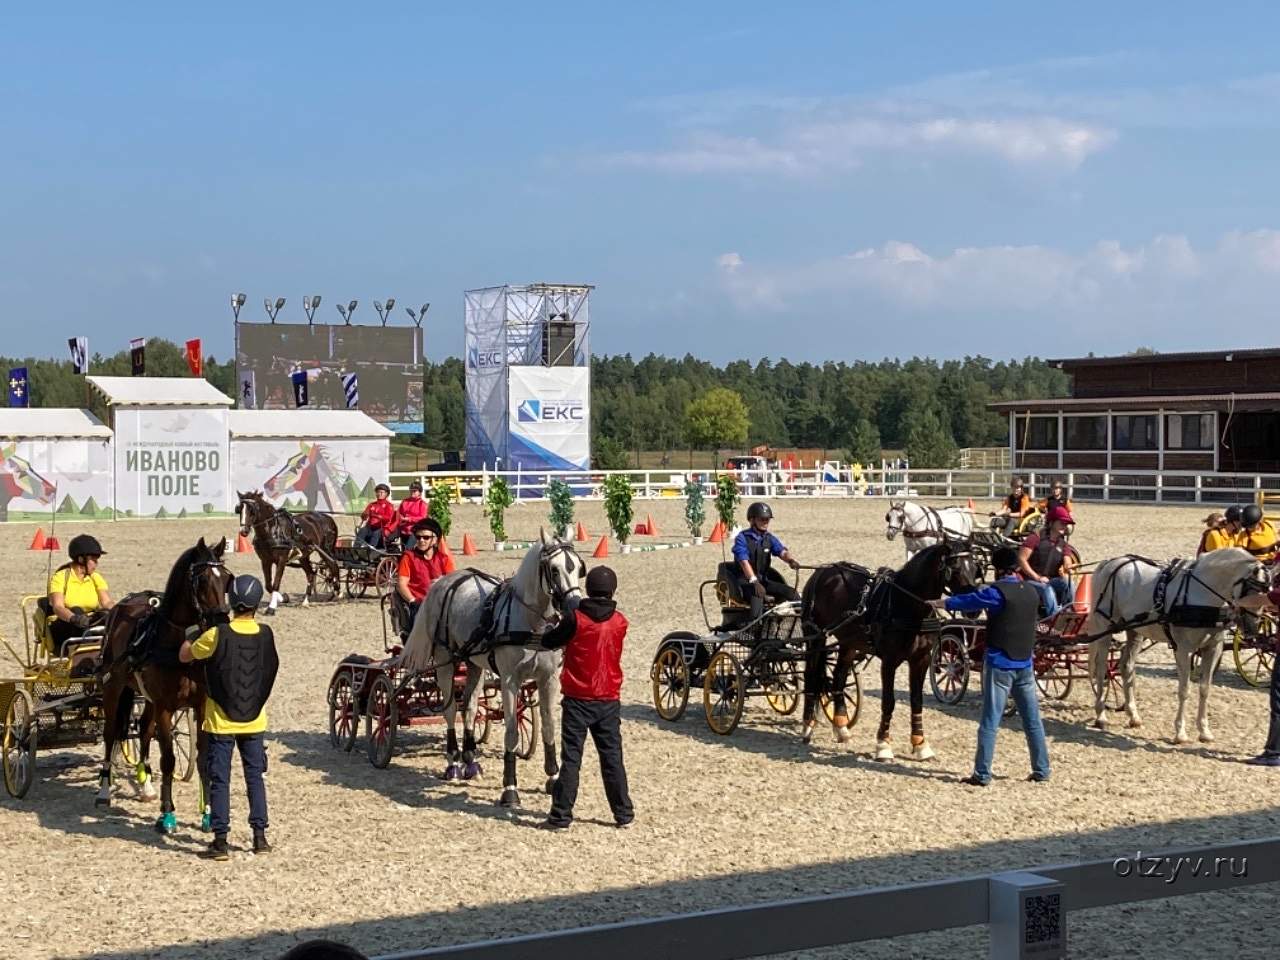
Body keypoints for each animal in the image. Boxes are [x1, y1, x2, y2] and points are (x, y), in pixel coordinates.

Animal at [98, 535, 234, 834]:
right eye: (202, 580)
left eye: (228, 580)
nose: (220, 620)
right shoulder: (165, 707)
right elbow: (169, 759)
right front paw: (168, 815)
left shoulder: (200, 706)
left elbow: (202, 757)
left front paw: (207, 814)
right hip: (114, 688)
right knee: (111, 733)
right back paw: (103, 789)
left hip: (146, 698)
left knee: (144, 730)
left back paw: (146, 784)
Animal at [238, 488, 340, 616]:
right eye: (239, 509)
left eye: (252, 510)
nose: (243, 531)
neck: (272, 531)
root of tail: (328, 518)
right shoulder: (265, 561)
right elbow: (268, 585)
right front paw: (283, 598)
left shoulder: (281, 560)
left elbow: (276, 583)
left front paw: (271, 608)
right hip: (303, 557)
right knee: (311, 574)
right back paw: (305, 601)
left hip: (325, 549)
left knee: (333, 565)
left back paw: (337, 592)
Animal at [399, 529, 586, 808]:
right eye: (553, 570)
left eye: (578, 566)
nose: (574, 605)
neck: (531, 622)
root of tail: (444, 582)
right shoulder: (510, 681)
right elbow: (511, 732)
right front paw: (510, 789)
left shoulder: (549, 679)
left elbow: (549, 727)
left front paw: (553, 780)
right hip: (446, 661)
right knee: (450, 710)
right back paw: (453, 763)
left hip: (473, 663)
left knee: (470, 707)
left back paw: (470, 760)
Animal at [793, 545, 972, 762]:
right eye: (956, 568)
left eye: (976, 566)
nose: (973, 610)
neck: (906, 604)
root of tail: (824, 571)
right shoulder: (889, 661)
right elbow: (888, 702)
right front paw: (883, 745)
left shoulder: (921, 660)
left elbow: (916, 701)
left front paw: (921, 744)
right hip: (815, 636)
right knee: (811, 676)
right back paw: (808, 726)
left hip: (849, 642)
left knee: (838, 678)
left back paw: (841, 727)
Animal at [1080, 547, 1269, 742]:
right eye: (1251, 590)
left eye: (1267, 591)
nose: (1253, 627)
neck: (1202, 594)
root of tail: (1110, 562)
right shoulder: (1183, 649)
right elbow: (1184, 690)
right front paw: (1180, 732)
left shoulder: (1213, 648)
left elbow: (1205, 688)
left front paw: (1204, 731)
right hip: (1105, 627)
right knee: (1101, 668)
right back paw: (1101, 716)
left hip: (1135, 630)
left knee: (1126, 666)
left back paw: (1133, 716)